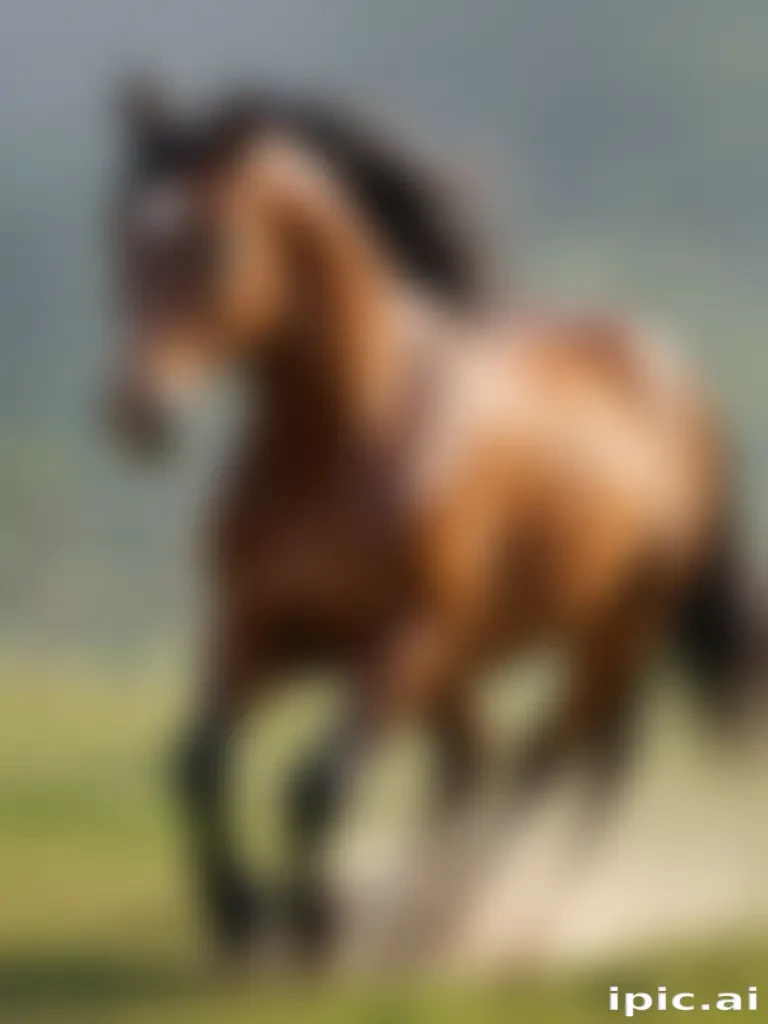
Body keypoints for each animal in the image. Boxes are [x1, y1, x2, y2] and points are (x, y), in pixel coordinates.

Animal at [105, 82, 758, 960]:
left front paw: (312, 925)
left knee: (565, 767)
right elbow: (197, 763)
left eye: (215, 245)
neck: (345, 444)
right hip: (486, 665)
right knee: (495, 767)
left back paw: (506, 923)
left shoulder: (402, 643)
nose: (136, 413)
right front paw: (238, 915)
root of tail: (672, 373)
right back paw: (431, 909)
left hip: (612, 631)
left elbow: (316, 783)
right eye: (121, 235)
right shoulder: (254, 629)